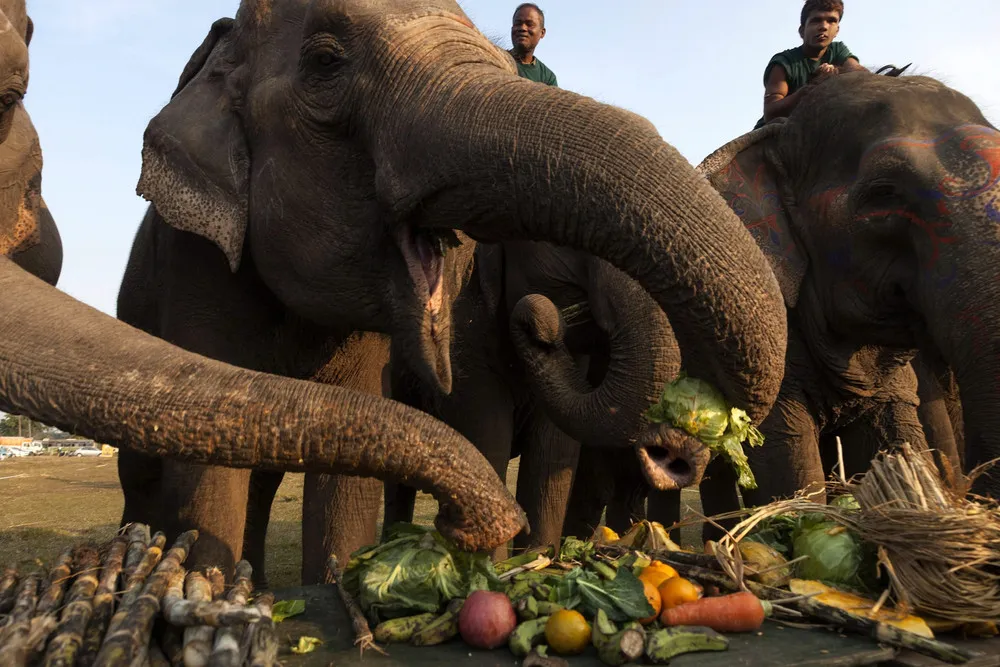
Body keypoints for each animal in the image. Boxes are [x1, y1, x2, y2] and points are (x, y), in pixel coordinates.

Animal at [114, 0, 790, 585]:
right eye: (326, 62)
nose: (675, 453)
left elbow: (546, 455)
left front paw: (530, 562)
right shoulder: (195, 264)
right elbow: (478, 433)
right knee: (147, 475)